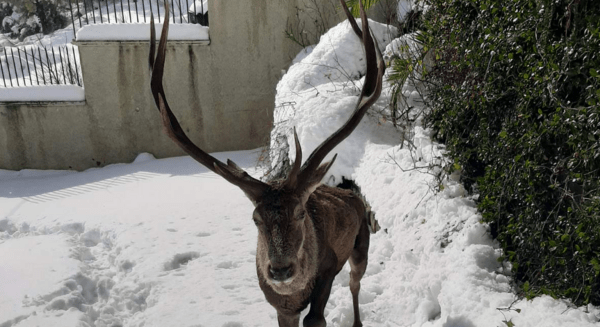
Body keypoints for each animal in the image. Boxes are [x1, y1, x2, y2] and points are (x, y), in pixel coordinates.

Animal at [149, 0, 384, 326]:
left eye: (300, 213)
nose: (281, 270)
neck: (294, 293)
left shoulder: (327, 270)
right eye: (255, 218)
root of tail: (350, 192)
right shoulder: (280, 307)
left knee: (354, 282)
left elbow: (317, 317)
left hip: (361, 242)